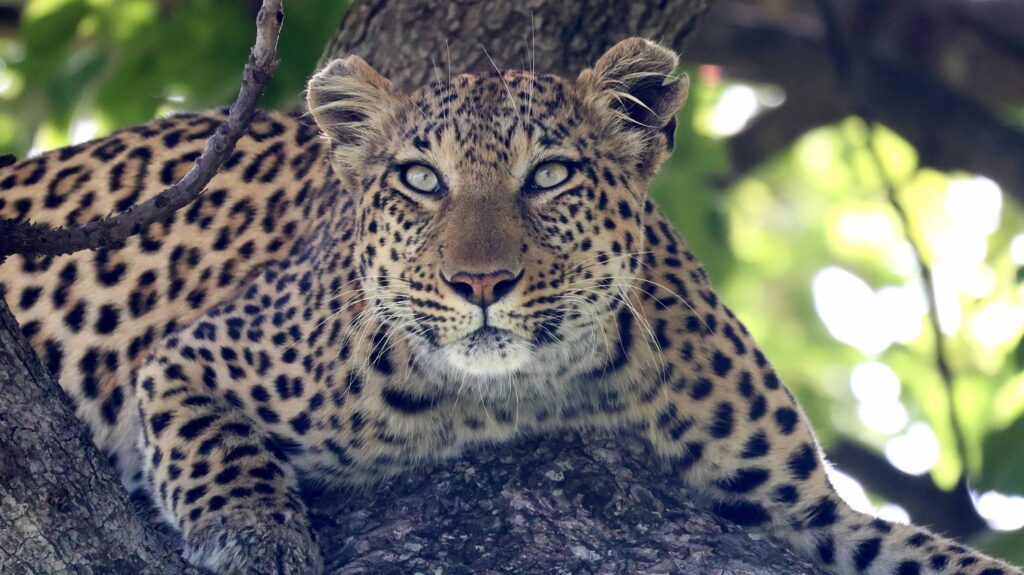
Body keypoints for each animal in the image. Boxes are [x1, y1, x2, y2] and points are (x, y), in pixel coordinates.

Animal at [0, 37, 1019, 575]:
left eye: (550, 175)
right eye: (420, 179)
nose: (481, 282)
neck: (529, 392)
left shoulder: (803, 511)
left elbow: (942, 556)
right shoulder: (196, 355)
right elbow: (217, 449)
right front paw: (259, 537)